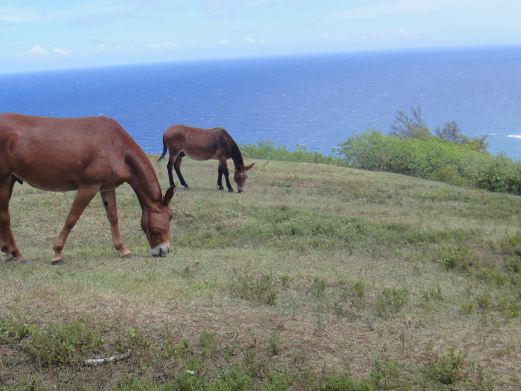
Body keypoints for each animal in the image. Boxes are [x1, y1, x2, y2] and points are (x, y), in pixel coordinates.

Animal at [0, 114, 175, 266]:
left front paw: (122, 249)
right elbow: (72, 218)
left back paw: (8, 251)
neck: (118, 146)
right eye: (170, 216)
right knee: (5, 216)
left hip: (10, 179)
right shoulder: (89, 186)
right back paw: (16, 253)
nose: (164, 250)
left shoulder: (107, 187)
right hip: (4, 179)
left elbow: (113, 217)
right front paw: (57, 253)